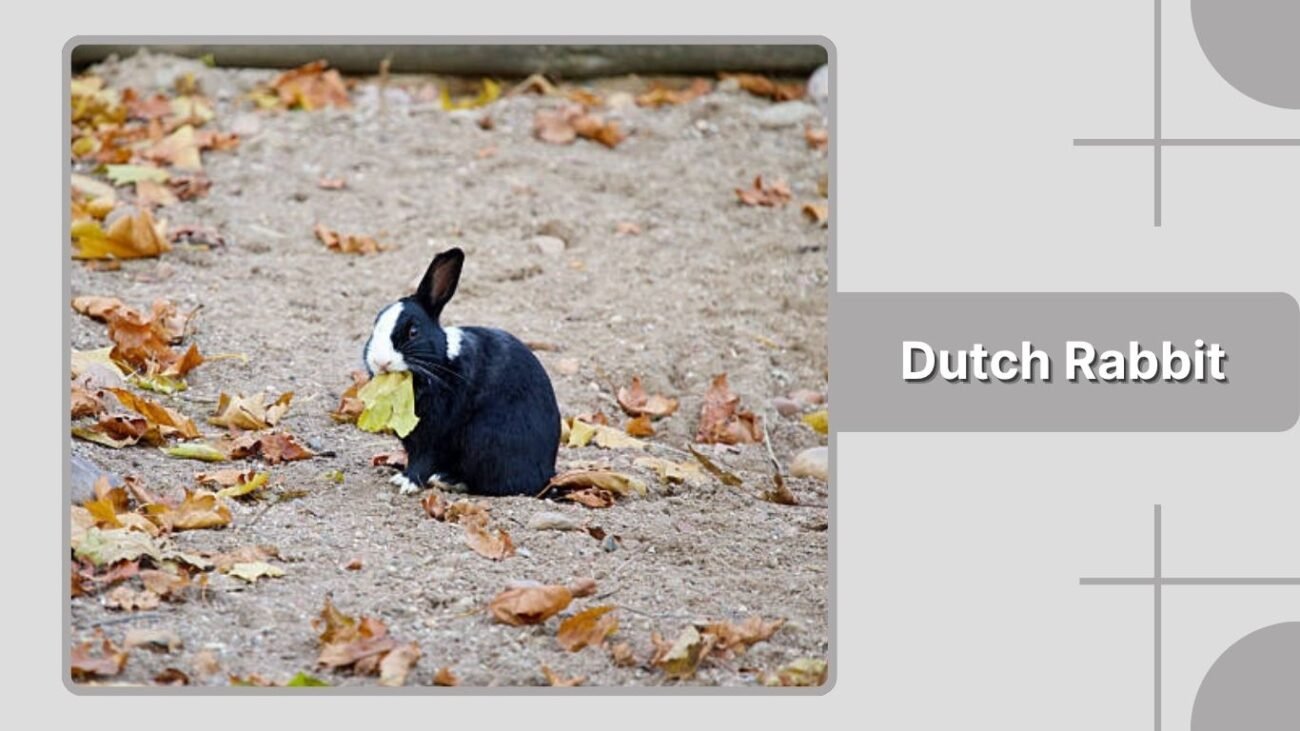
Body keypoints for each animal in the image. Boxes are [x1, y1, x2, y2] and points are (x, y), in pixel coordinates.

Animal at [362, 247, 561, 496]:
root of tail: (547, 475)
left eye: (413, 332)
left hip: (484, 442)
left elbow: (422, 460)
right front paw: (400, 478)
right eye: (374, 327)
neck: (441, 363)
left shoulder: (433, 437)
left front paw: (408, 483)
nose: (380, 361)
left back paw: (447, 481)